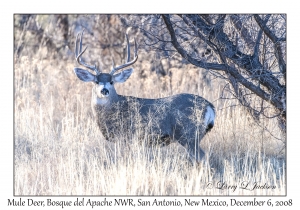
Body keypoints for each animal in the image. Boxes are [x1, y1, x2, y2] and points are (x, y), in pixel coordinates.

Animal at [73, 30, 214, 162]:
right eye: (96, 81)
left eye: (112, 81)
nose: (104, 90)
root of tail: (210, 106)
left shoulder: (127, 136)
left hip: (188, 134)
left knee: (203, 157)